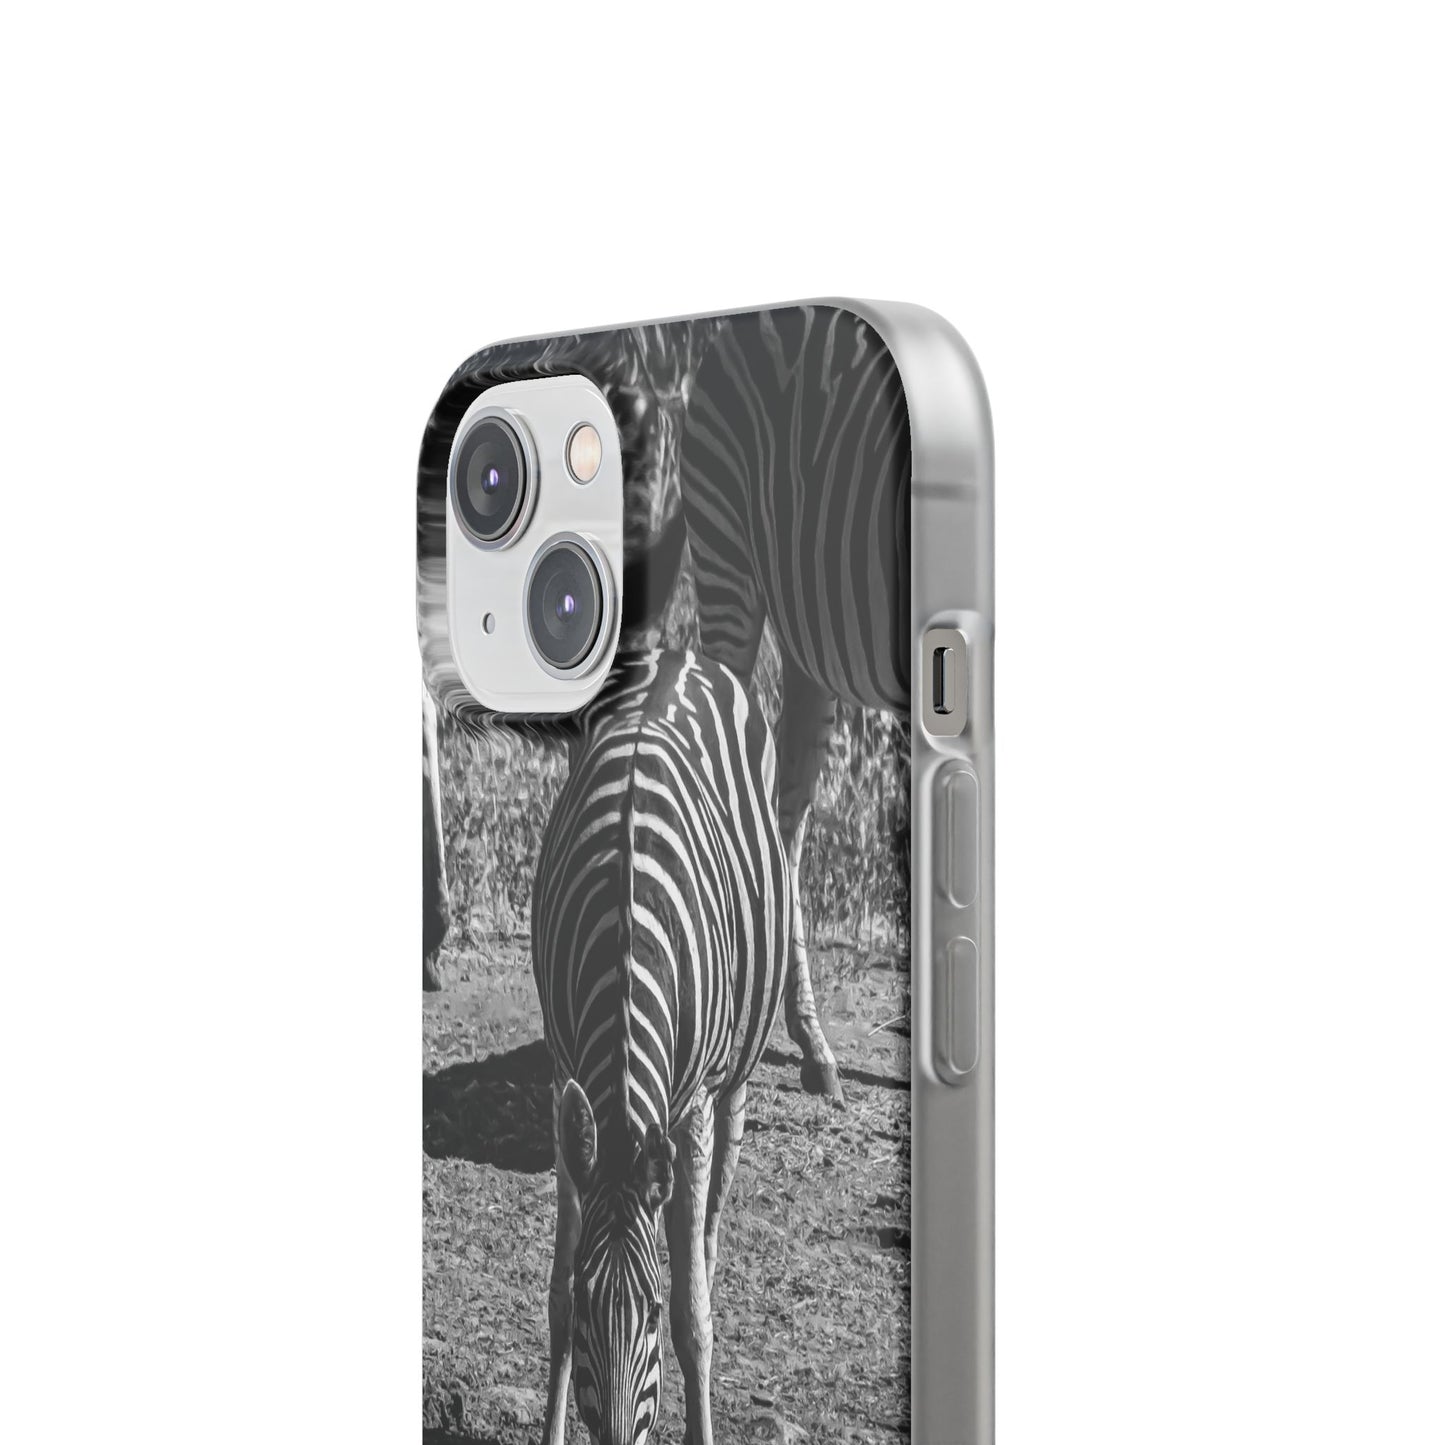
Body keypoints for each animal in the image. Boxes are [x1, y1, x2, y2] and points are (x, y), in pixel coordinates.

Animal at [533, 649, 789, 1445]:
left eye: (644, 1310)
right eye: (594, 1305)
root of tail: (682, 655)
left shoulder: (693, 1103)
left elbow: (692, 1317)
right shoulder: (565, 1080)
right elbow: (554, 1296)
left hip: (731, 1080)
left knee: (709, 1210)